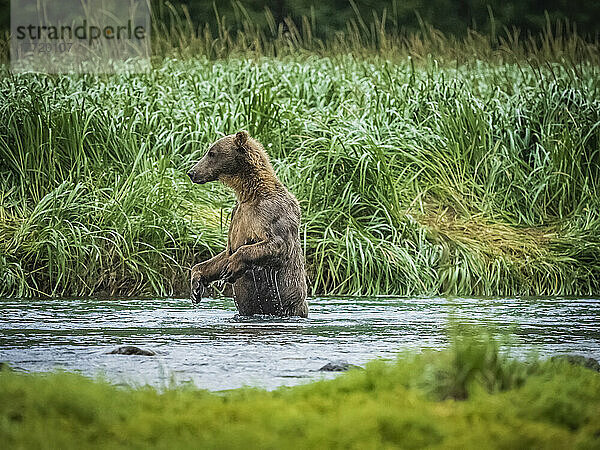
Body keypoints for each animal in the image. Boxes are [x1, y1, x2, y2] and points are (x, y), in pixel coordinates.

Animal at [186, 132, 310, 318]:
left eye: (212, 153)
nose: (192, 172)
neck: (249, 193)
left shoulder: (271, 211)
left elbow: (277, 243)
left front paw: (231, 267)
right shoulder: (237, 216)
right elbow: (224, 254)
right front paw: (196, 285)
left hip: (291, 303)